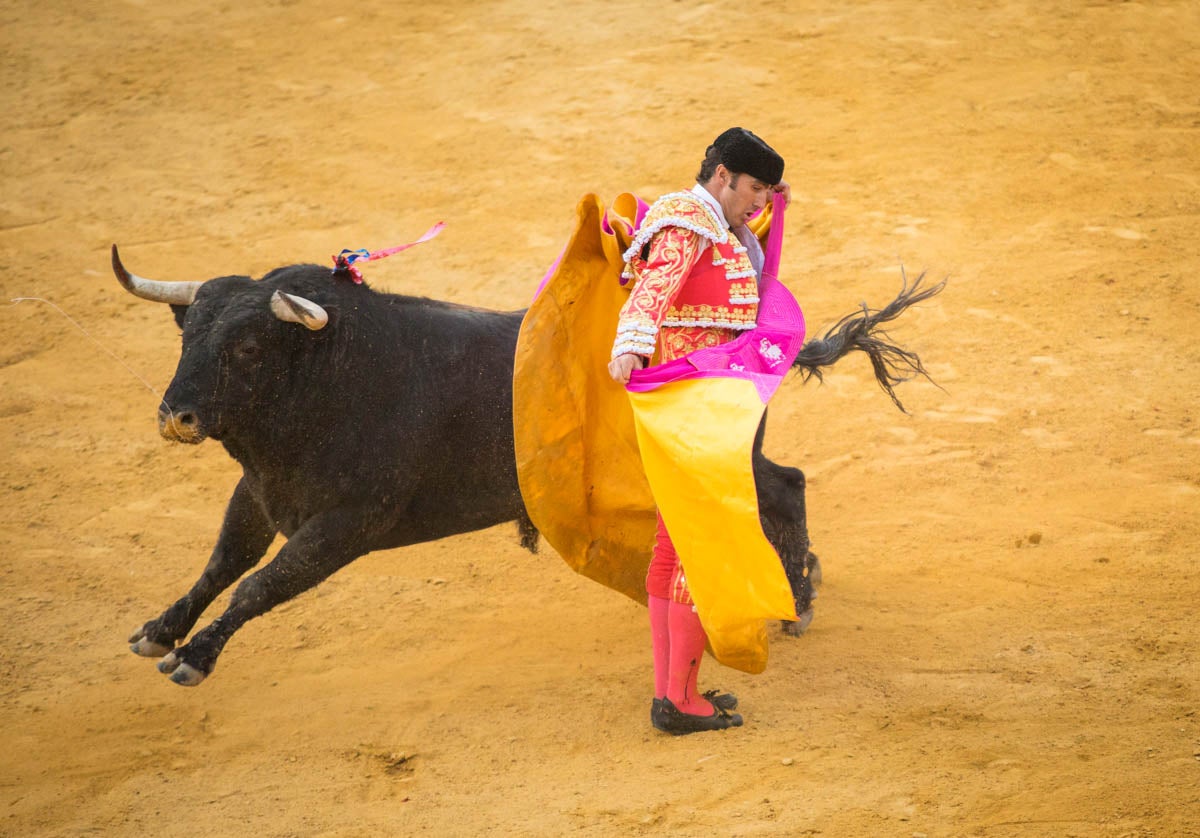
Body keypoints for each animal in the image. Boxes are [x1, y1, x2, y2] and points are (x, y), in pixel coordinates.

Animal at [110, 243, 936, 686]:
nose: (176, 417)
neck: (325, 375)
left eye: (249, 348)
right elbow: (223, 563)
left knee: (784, 490)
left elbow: (260, 583)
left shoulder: (345, 524)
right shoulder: (260, 493)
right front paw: (159, 631)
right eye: (187, 335)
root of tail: (747, 332)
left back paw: (794, 601)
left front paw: (195, 658)